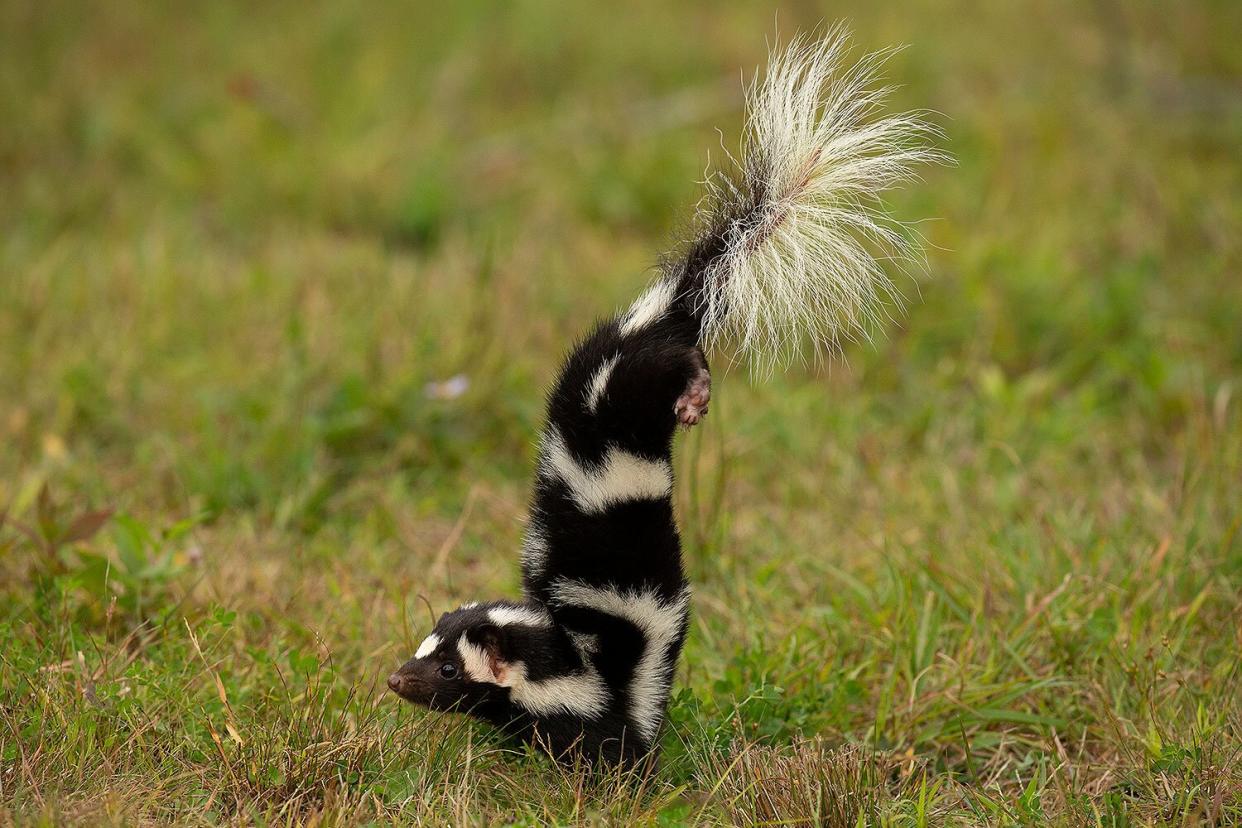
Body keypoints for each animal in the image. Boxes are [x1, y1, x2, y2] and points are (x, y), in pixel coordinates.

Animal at [387, 32, 938, 769]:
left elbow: (617, 734)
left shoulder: (624, 688)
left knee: (688, 366)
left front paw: (620, 769)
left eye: (449, 669)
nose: (396, 678)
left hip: (652, 371)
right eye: (424, 651)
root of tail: (659, 311)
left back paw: (695, 399)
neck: (574, 660)